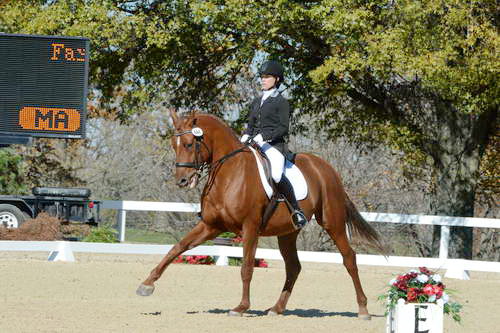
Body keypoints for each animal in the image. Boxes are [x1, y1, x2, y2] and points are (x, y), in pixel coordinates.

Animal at [139, 110, 384, 318]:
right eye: (174, 145)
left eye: (190, 144)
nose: (181, 180)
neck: (229, 174)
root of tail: (327, 168)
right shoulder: (211, 226)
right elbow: (177, 248)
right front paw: (146, 284)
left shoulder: (250, 227)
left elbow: (246, 267)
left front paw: (241, 307)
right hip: (288, 232)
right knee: (293, 267)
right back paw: (276, 308)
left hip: (332, 222)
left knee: (349, 258)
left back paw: (363, 309)